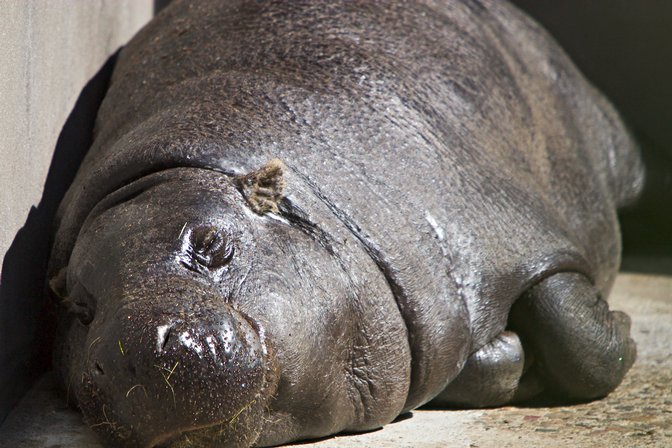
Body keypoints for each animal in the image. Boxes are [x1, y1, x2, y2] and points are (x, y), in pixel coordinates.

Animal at [47, 1, 645, 447]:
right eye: (79, 308)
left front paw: (623, 328)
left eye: (213, 242)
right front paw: (508, 358)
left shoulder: (510, 233)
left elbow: (579, 335)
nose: (136, 351)